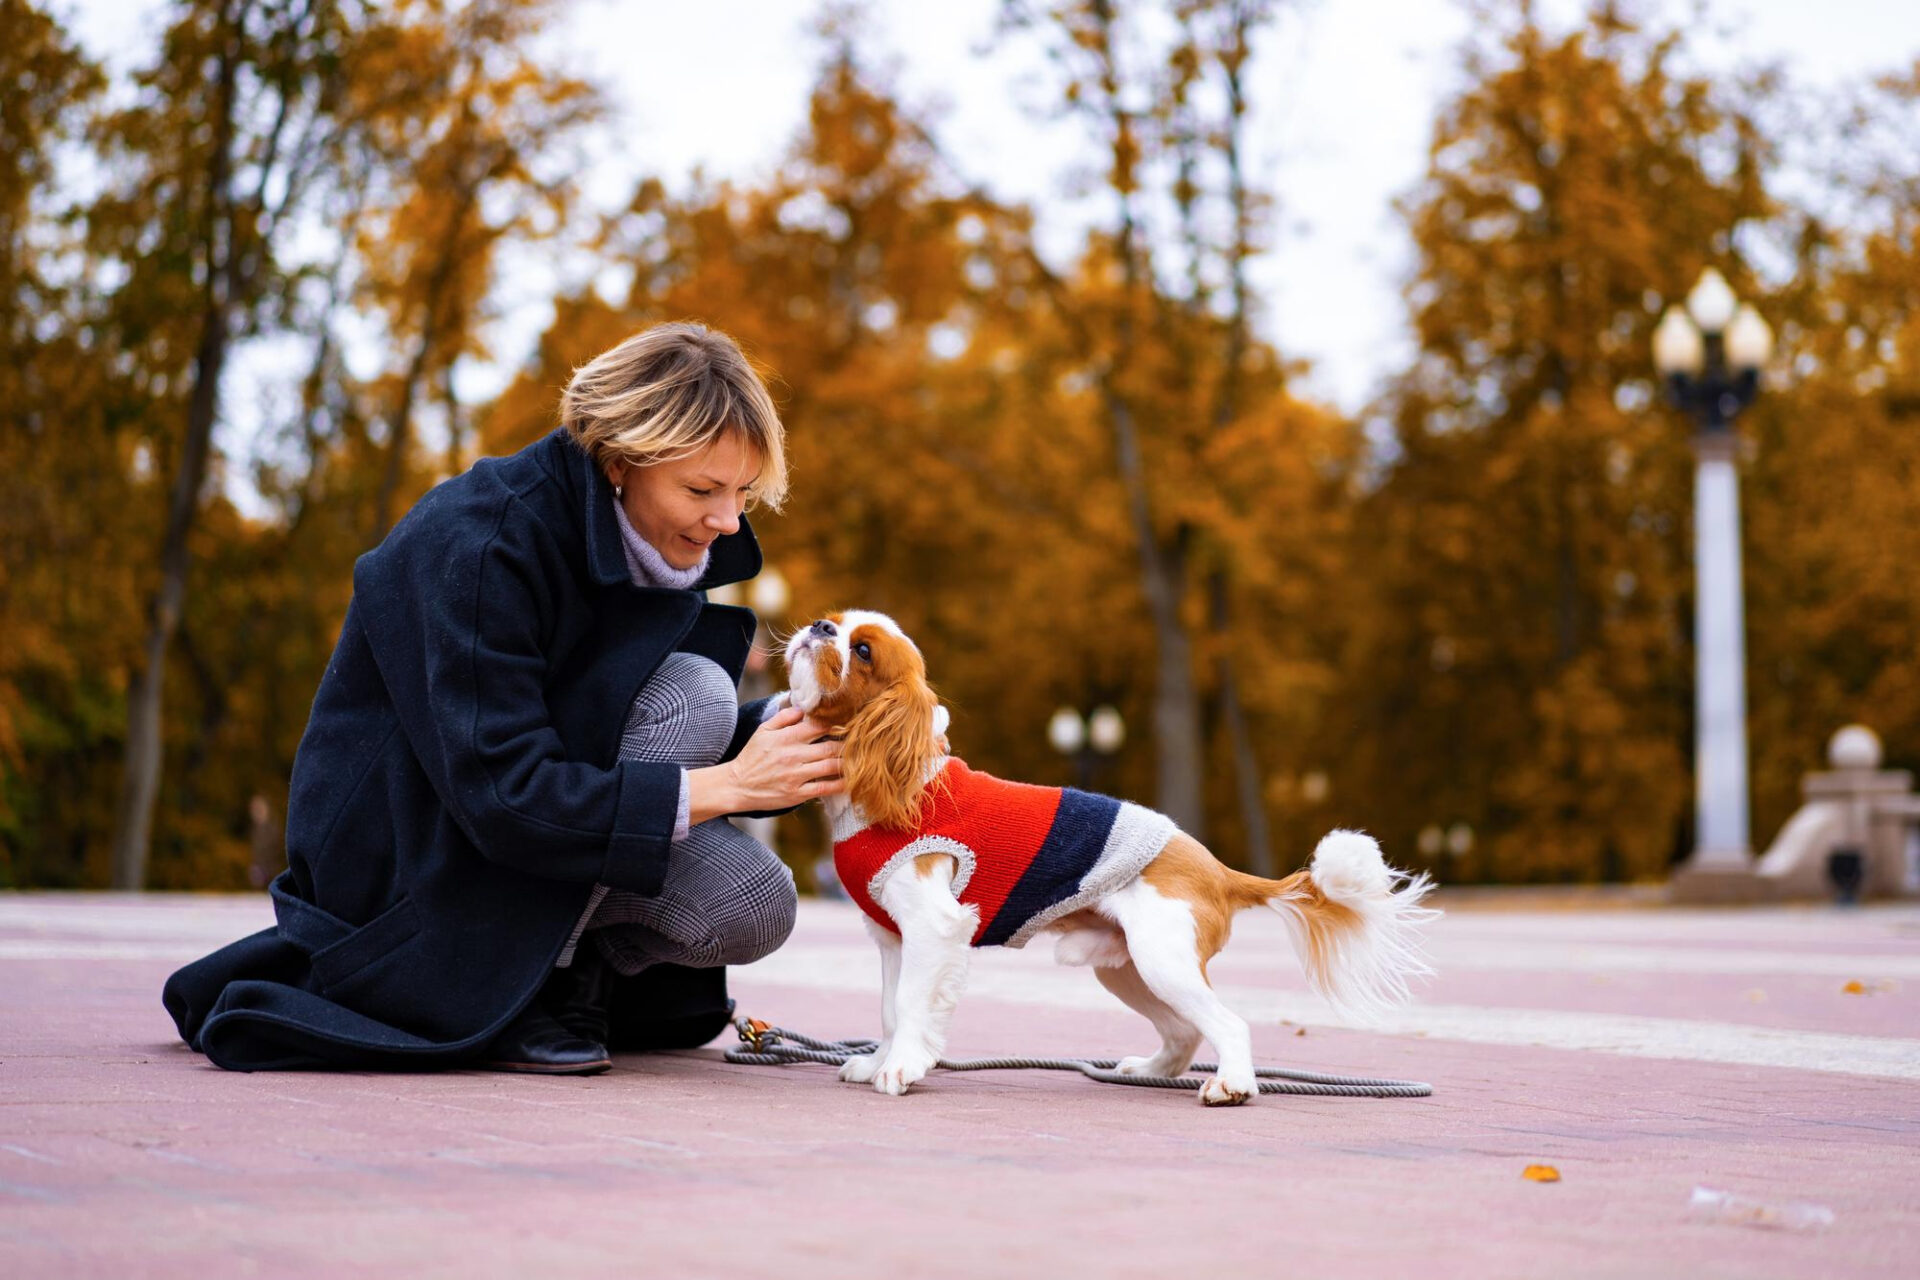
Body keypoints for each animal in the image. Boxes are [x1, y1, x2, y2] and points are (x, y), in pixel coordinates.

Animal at [771, 610, 1436, 1105]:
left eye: (861, 651)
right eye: (835, 623)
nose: (818, 627)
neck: (891, 782)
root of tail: (1220, 871)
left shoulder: (935, 929)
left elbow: (911, 1004)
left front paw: (901, 1068)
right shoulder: (892, 937)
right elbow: (888, 1007)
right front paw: (878, 1059)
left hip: (1162, 959)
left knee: (1229, 1024)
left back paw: (1233, 1085)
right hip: (1128, 968)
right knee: (1183, 1032)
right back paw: (1148, 1072)